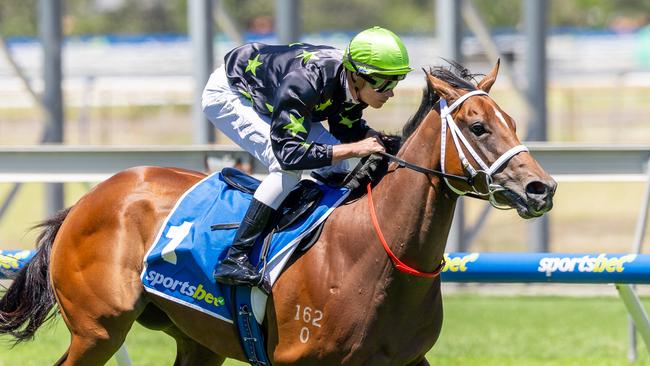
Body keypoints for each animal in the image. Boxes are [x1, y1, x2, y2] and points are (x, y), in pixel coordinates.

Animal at [0, 61, 556, 364]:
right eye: (478, 126)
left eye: (511, 121)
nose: (542, 187)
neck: (375, 254)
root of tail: (89, 199)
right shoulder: (297, 359)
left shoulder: (407, 359)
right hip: (99, 330)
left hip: (197, 340)